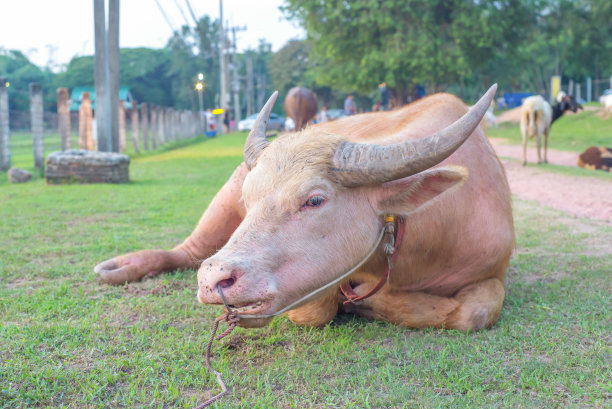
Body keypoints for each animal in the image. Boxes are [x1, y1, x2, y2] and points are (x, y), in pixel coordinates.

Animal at [97, 85, 516, 332]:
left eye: (314, 200)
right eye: (249, 199)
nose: (214, 280)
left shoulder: (492, 271)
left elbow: (475, 313)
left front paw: (368, 302)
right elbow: (319, 308)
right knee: (186, 251)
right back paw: (121, 267)